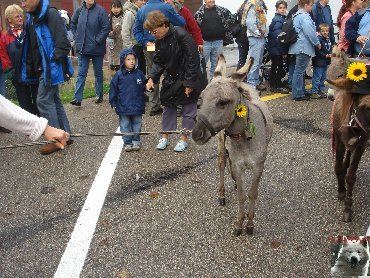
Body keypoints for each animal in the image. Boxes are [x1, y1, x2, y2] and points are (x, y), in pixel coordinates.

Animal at [328, 76, 368, 224]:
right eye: (365, 107)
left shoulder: (362, 142)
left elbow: (351, 176)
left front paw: (348, 207)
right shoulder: (338, 138)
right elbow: (338, 167)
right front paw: (341, 190)